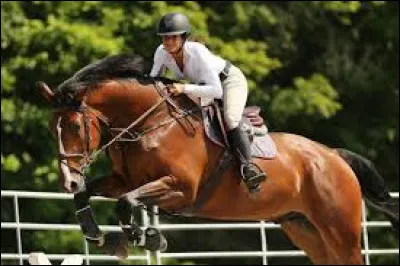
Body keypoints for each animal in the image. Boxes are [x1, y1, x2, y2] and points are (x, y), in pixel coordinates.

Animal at [36, 54, 396, 264]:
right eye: (51, 128)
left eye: (74, 126)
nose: (67, 180)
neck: (149, 123)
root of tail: (334, 156)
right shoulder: (124, 180)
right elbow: (94, 194)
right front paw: (103, 238)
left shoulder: (181, 189)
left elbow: (127, 201)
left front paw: (146, 237)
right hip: (304, 228)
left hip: (340, 230)